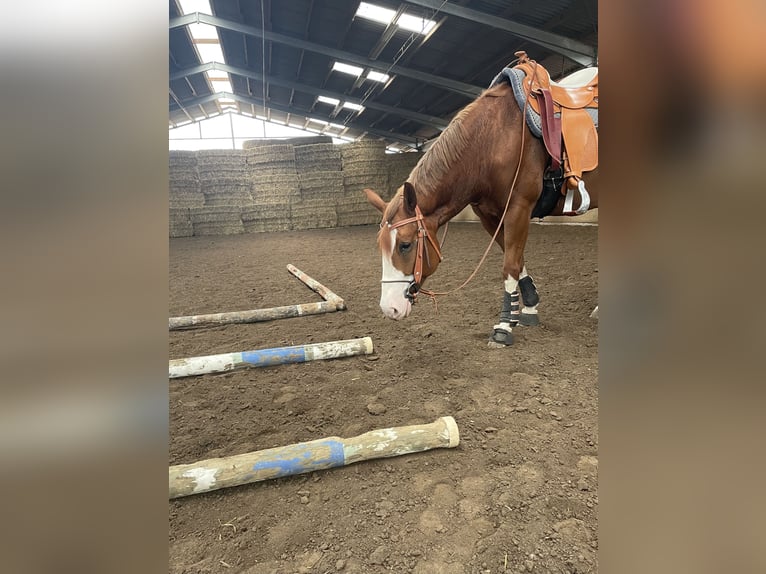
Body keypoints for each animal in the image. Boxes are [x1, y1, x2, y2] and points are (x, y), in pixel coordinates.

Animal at [363, 58, 598, 347]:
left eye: (406, 245)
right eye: (380, 246)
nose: (390, 308)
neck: (493, 140)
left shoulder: (518, 207)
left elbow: (510, 264)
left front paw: (504, 326)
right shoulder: (489, 216)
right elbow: (516, 259)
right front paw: (528, 307)